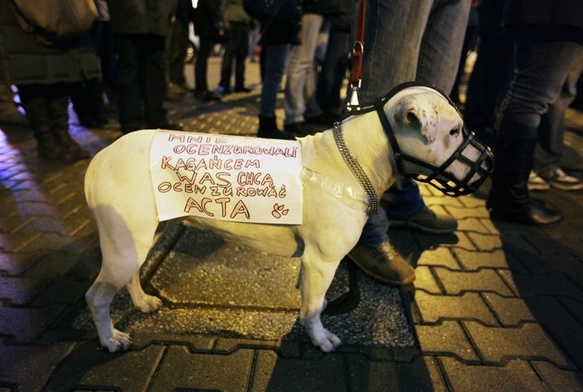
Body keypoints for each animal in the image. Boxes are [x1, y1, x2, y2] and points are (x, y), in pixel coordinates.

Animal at [83, 84, 492, 354]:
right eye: (454, 130)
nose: (490, 162)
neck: (355, 162)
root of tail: (100, 158)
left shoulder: (313, 264)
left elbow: (311, 300)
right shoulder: (323, 261)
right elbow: (312, 308)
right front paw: (321, 338)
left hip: (138, 238)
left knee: (131, 276)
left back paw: (141, 303)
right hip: (124, 246)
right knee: (96, 297)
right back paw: (110, 339)